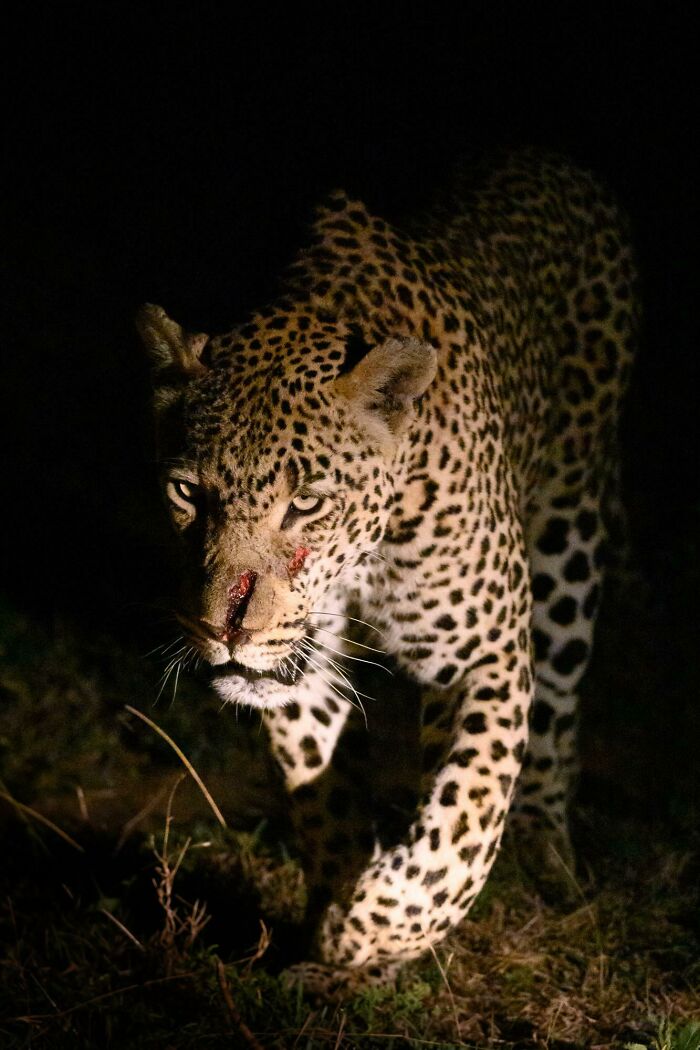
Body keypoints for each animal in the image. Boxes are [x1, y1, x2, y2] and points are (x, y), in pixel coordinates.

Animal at [136, 149, 637, 976]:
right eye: (186, 492)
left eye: (306, 503)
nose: (226, 631)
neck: (364, 555)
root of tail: (547, 158)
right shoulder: (299, 670)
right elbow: (325, 800)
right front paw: (340, 926)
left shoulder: (485, 652)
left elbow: (466, 812)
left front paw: (383, 924)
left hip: (571, 532)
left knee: (555, 722)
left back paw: (550, 859)